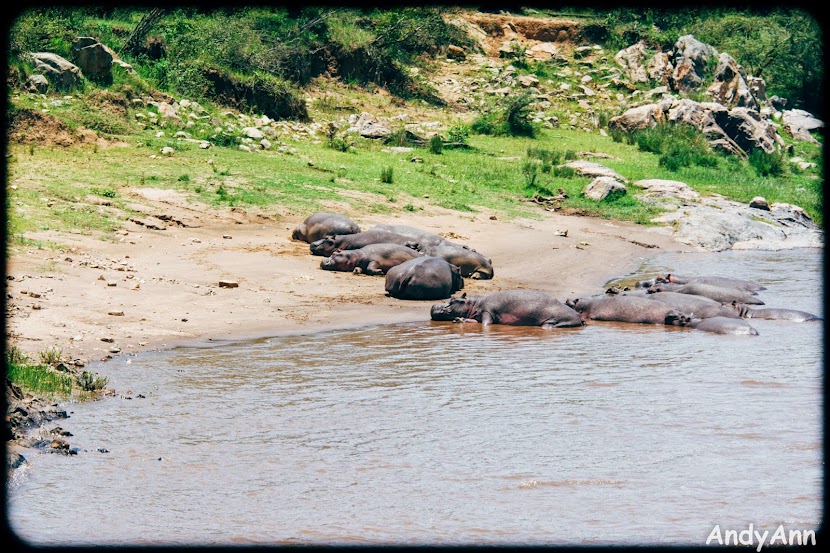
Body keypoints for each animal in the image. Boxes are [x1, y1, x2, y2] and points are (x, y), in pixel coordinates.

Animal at [428, 288, 584, 328]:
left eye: (453, 300)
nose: (434, 305)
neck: (473, 304)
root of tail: (579, 316)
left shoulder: (488, 312)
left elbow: (485, 324)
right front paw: (459, 320)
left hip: (555, 322)